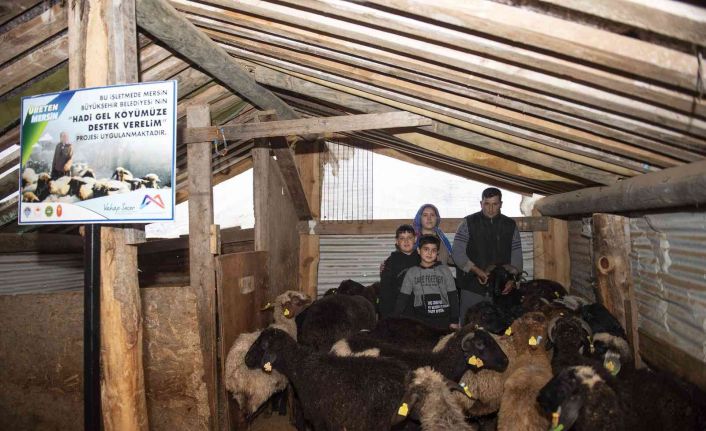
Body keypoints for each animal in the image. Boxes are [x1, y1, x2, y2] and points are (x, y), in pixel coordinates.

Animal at [223, 290, 310, 418]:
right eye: (296, 300)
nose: (310, 298)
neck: (285, 326)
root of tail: (233, 377)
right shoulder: (287, 377)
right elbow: (290, 394)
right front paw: (291, 417)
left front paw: (269, 412)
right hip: (260, 391)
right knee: (249, 412)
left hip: (239, 395)